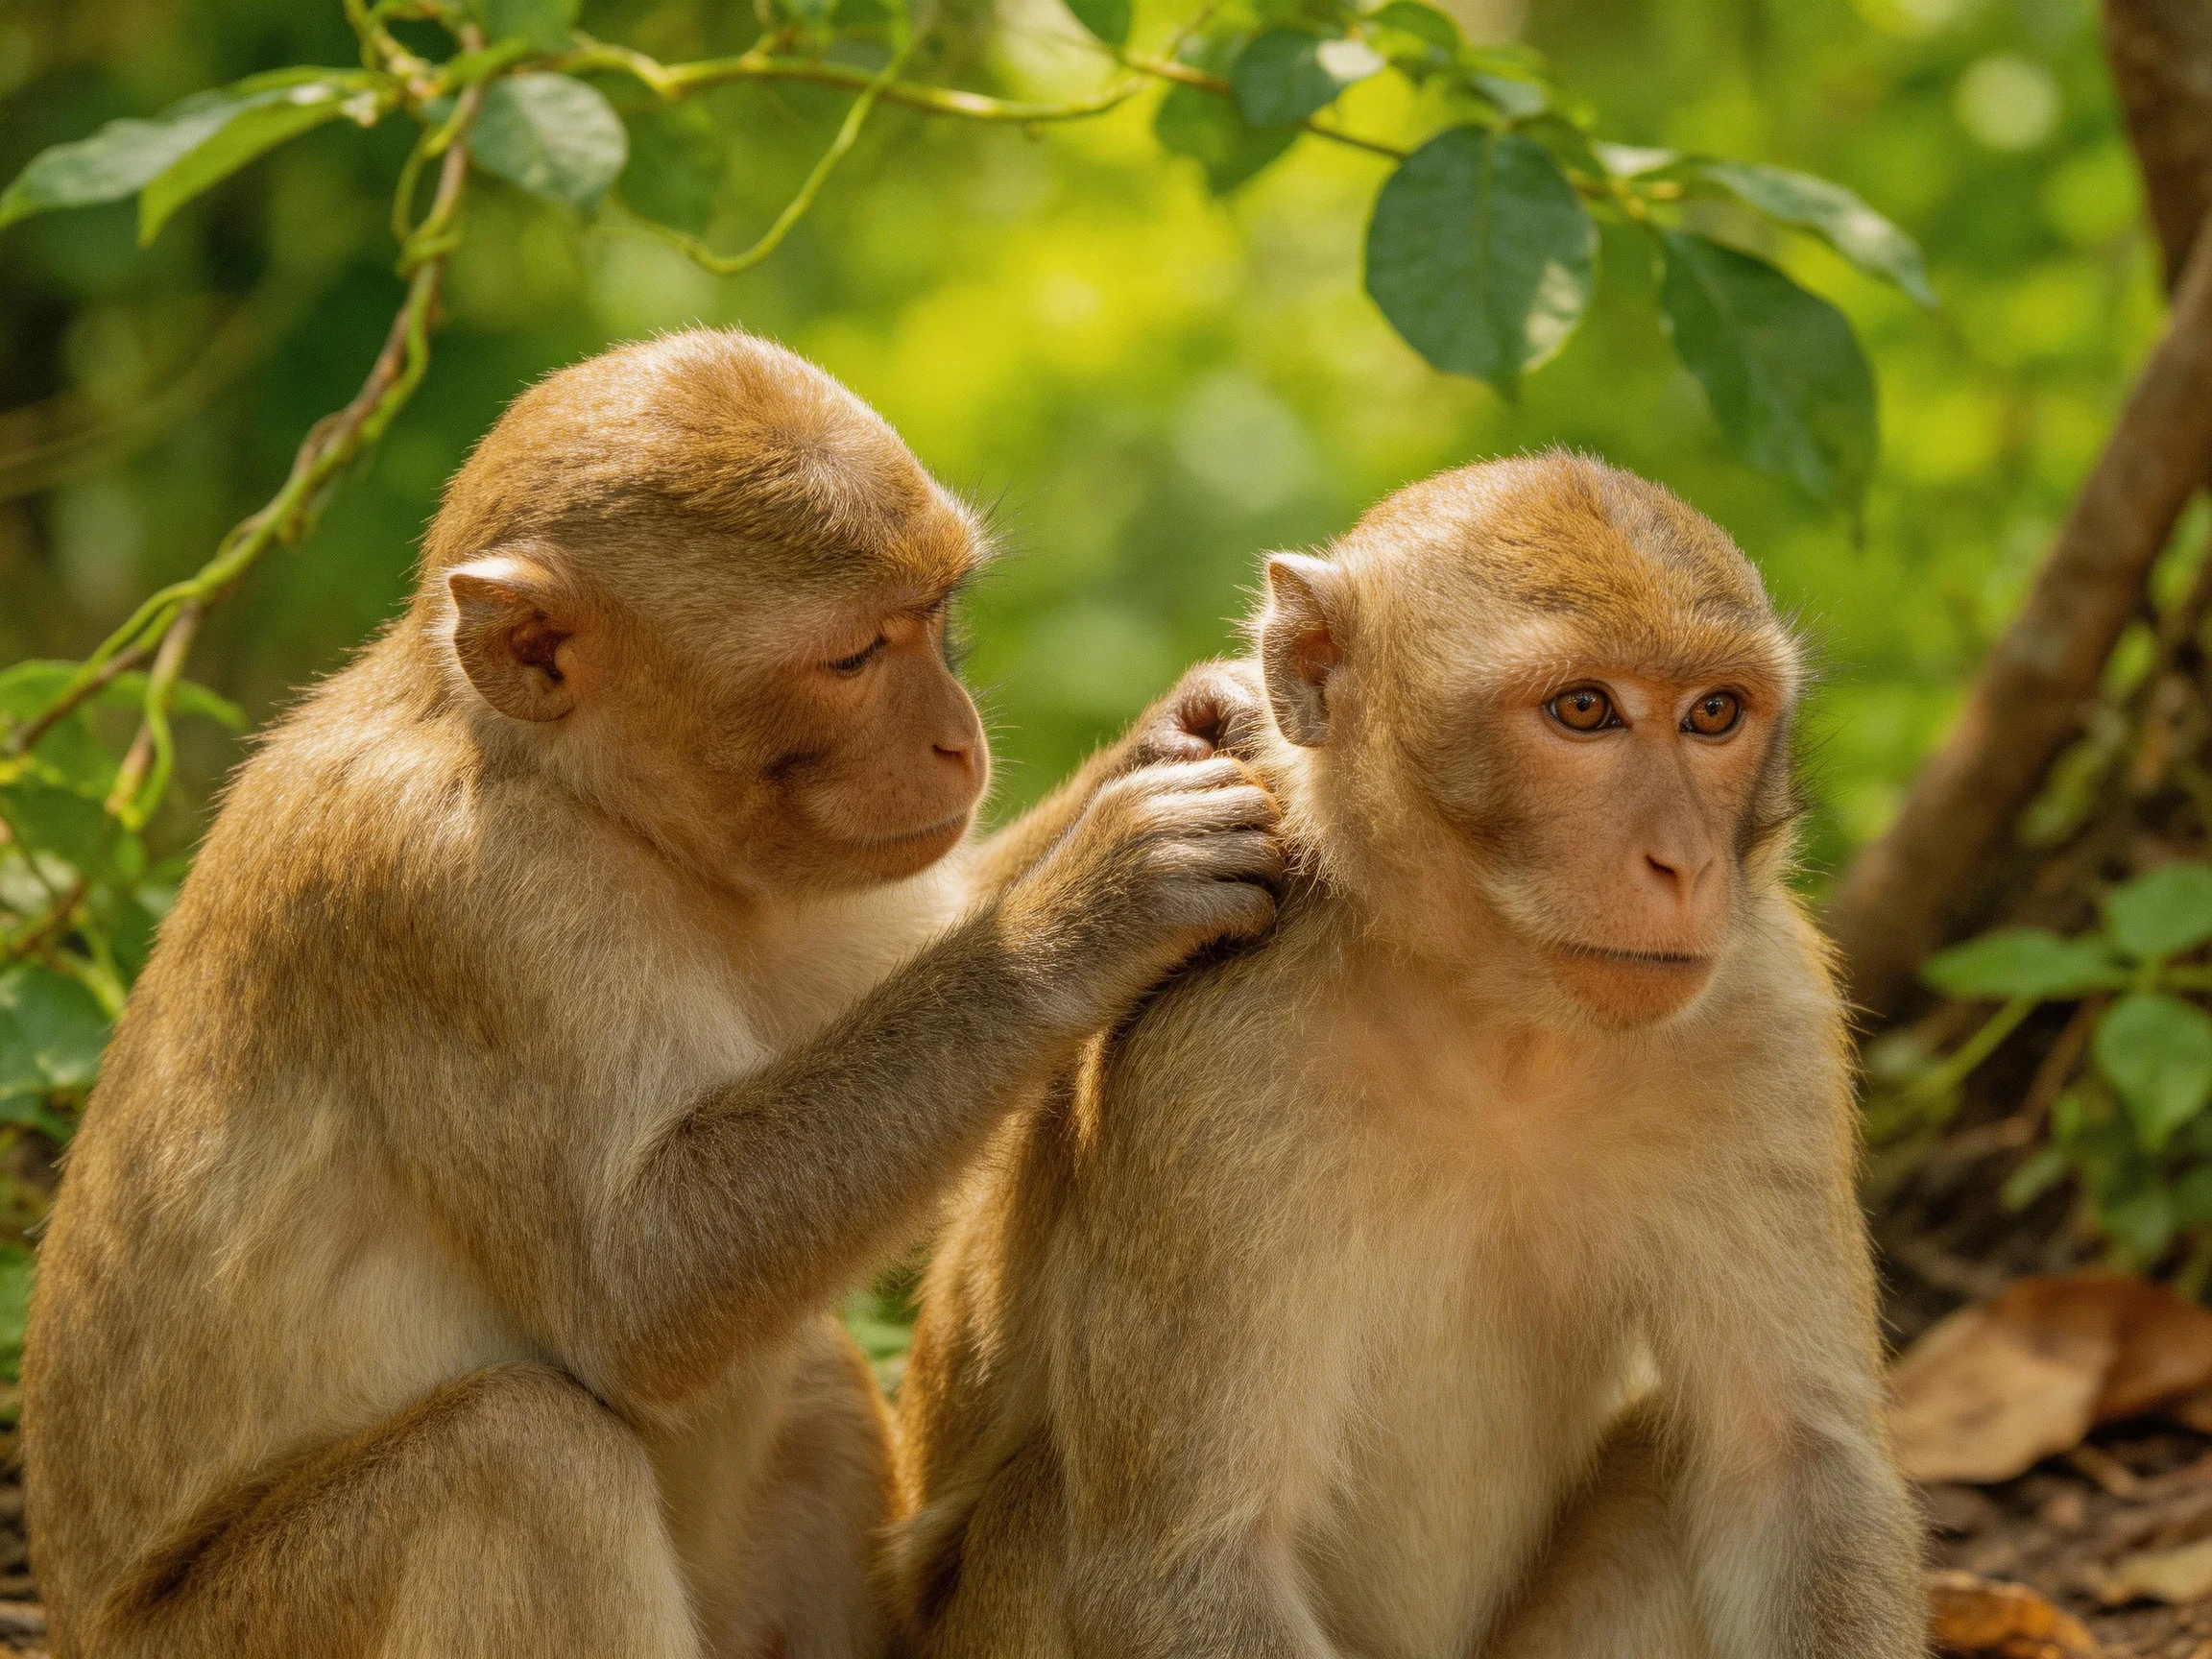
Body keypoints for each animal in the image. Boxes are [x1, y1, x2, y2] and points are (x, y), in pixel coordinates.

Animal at [22, 327, 1284, 1659]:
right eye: (854, 656)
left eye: (936, 617)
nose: (956, 739)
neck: (577, 791)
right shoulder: (463, 906)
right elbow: (636, 1292)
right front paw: (1097, 903)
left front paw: (1180, 728)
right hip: (243, 1630)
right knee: (519, 1458)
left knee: (808, 1386)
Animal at [887, 451, 1924, 1659]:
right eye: (1584, 709)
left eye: (1716, 713)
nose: (1684, 863)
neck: (1497, 1030)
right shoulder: (1215, 1058)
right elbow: (1185, 1560)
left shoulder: (1766, 1010)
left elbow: (1794, 1474)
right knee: (1045, 1511)